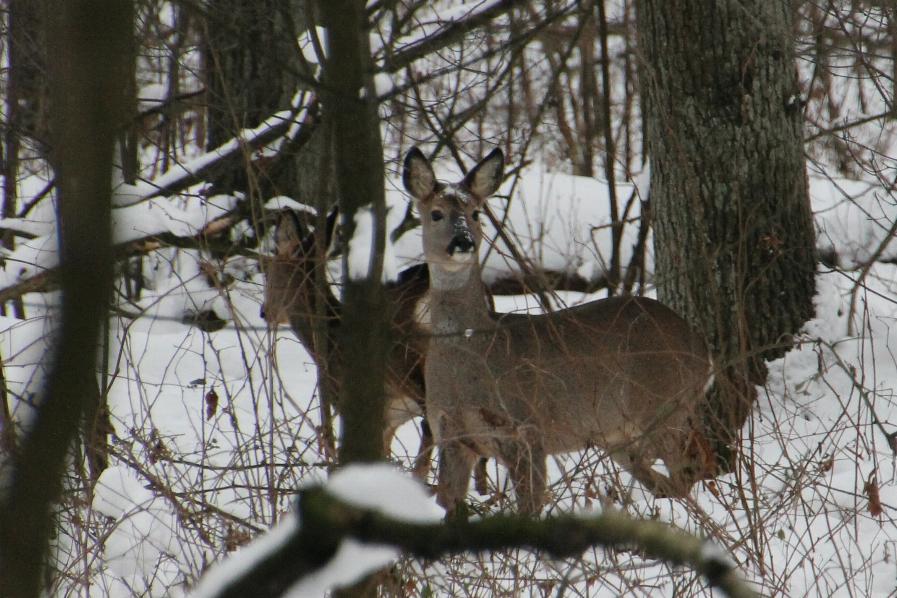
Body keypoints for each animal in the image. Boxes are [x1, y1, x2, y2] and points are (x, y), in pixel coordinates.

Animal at [404, 146, 712, 516]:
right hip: (620, 434)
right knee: (667, 478)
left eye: (476, 213)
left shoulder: (527, 432)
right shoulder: (450, 437)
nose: (462, 242)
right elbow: (446, 504)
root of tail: (703, 349)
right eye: (435, 214)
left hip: (664, 405)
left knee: (689, 469)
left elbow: (530, 507)